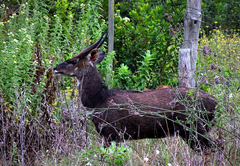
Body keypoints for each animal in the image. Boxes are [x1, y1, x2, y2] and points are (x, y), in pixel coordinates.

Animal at [54, 32, 218, 153]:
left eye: (74, 61)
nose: (56, 68)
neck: (99, 99)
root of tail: (216, 103)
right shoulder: (118, 137)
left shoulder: (111, 133)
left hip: (194, 128)